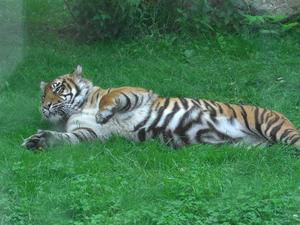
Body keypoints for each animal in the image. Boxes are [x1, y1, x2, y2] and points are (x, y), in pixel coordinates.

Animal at [22, 64, 300, 151]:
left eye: (58, 88)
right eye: (42, 95)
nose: (46, 107)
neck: (79, 108)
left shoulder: (138, 92)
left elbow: (111, 95)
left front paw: (104, 112)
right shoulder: (89, 133)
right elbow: (65, 138)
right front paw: (38, 140)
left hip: (272, 125)